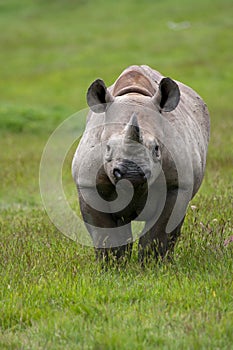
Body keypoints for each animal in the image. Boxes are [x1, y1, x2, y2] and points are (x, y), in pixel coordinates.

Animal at [72, 65, 210, 262]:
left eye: (157, 149)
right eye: (107, 148)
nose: (132, 174)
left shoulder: (176, 185)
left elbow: (159, 232)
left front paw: (153, 264)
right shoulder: (89, 184)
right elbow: (106, 234)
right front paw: (112, 265)